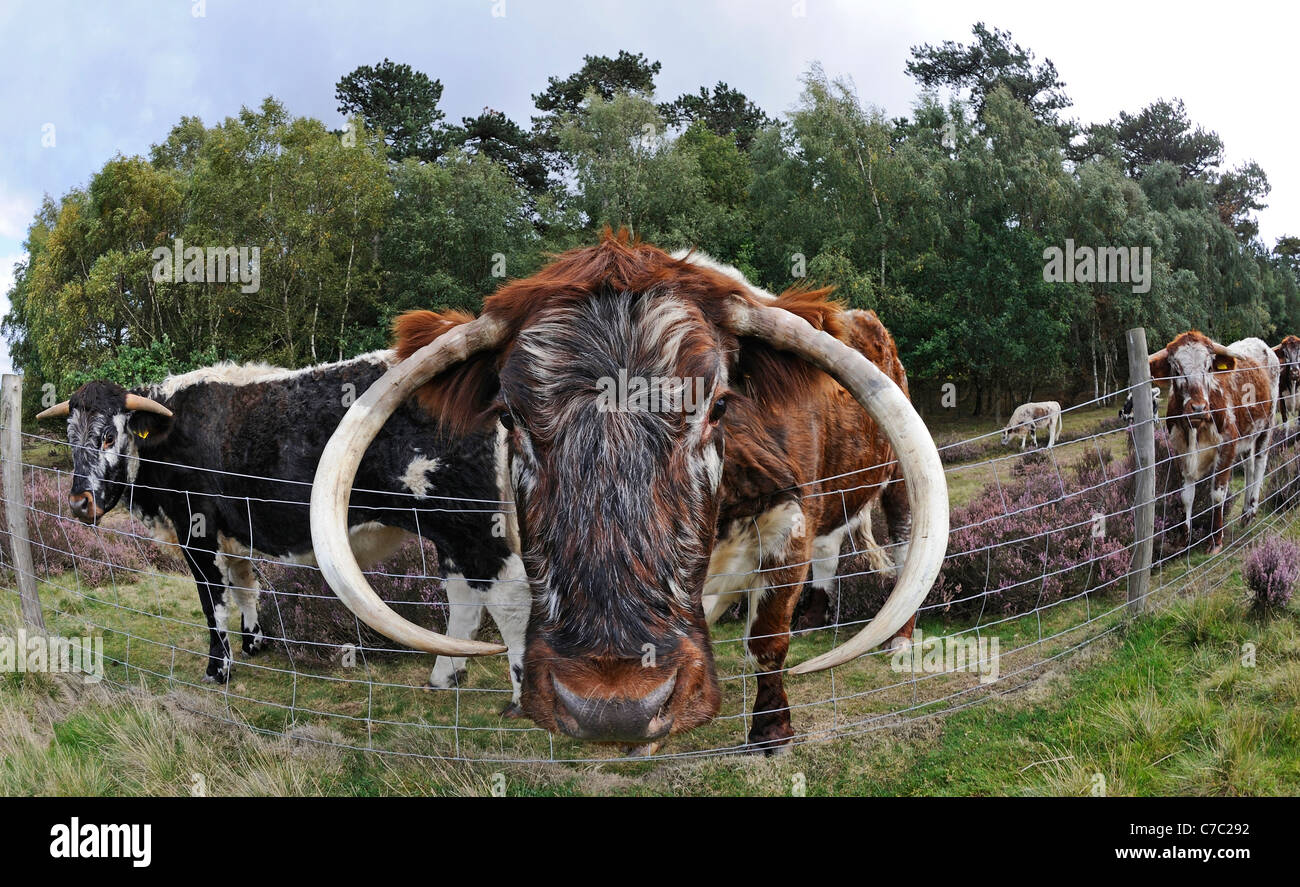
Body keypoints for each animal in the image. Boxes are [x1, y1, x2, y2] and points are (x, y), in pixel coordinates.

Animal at [36, 352, 529, 711]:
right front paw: (255, 641)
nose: (79, 503)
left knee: (509, 598)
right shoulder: (234, 531)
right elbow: (244, 585)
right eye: (70, 436)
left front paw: (219, 669)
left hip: (473, 524)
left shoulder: (196, 529)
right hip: (452, 532)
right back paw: (445, 675)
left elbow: (212, 601)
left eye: (108, 436)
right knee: (464, 596)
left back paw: (521, 699)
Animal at [310, 232, 948, 755]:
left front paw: (771, 733)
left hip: (896, 485)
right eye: (509, 417)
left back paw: (898, 642)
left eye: (719, 405)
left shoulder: (788, 515)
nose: (611, 709)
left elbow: (766, 638)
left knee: (901, 545)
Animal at [1150, 332, 1279, 553]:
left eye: (1209, 367)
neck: (1194, 427)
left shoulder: (1227, 446)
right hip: (1248, 433)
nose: (1198, 407)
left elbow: (1218, 495)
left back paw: (1252, 511)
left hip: (1267, 425)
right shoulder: (1181, 452)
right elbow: (1186, 496)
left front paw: (1216, 540)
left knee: (1260, 464)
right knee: (1249, 467)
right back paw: (1245, 511)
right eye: (1176, 369)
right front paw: (1184, 540)